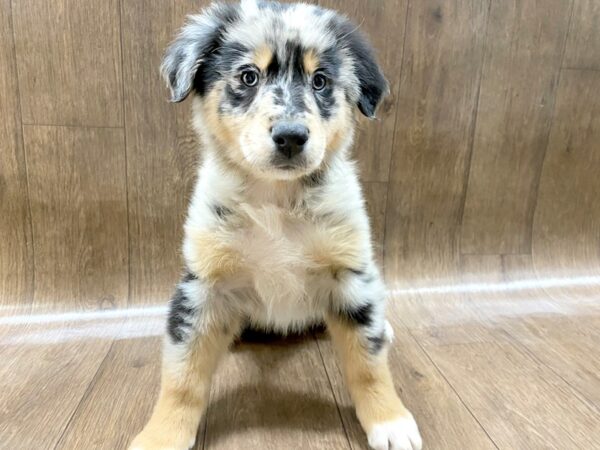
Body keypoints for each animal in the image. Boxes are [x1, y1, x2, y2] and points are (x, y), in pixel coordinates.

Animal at [131, 2, 422, 450]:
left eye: (321, 81)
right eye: (248, 76)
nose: (290, 137)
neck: (275, 202)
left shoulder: (350, 276)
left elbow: (368, 363)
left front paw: (389, 421)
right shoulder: (204, 285)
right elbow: (182, 376)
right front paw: (161, 435)